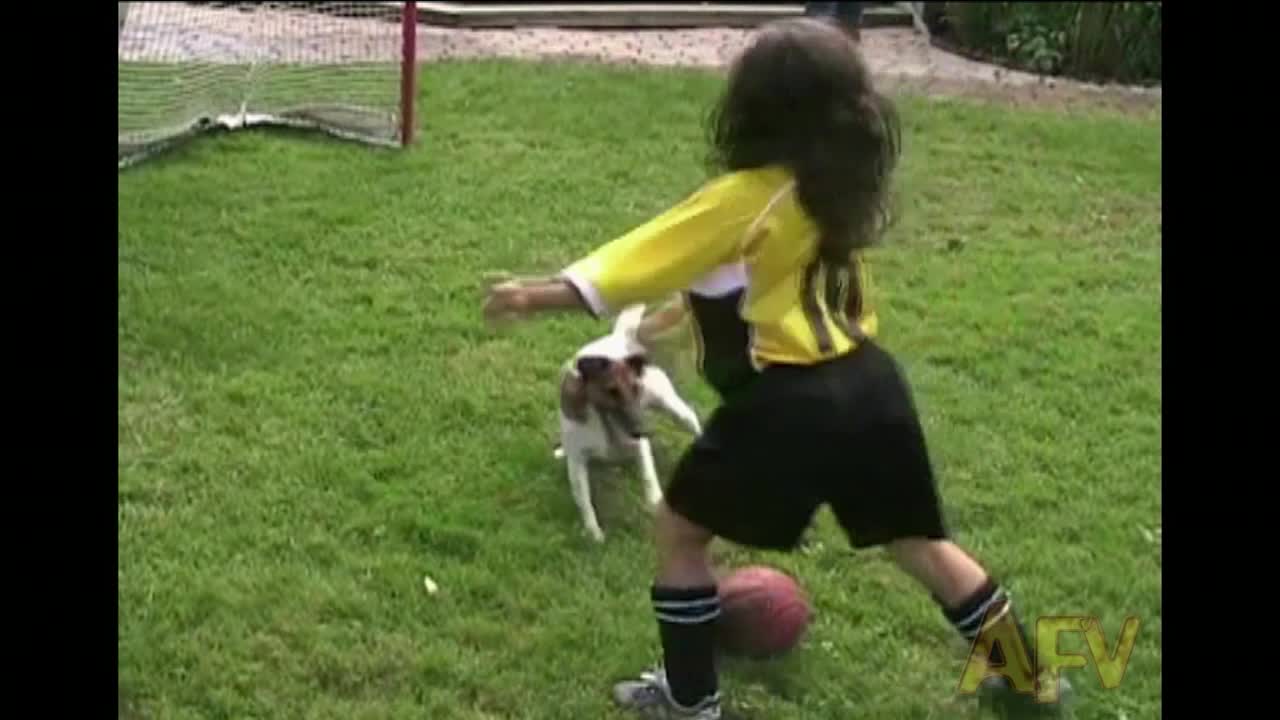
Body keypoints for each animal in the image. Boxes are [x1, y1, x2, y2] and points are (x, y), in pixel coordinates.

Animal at [555, 301, 706, 538]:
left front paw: (654, 504)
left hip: (674, 408)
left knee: (690, 420)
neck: (605, 421)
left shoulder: (639, 445)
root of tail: (620, 338)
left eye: (636, 387)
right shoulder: (577, 460)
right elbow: (585, 501)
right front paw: (594, 533)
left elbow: (648, 477)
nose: (644, 430)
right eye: (611, 391)